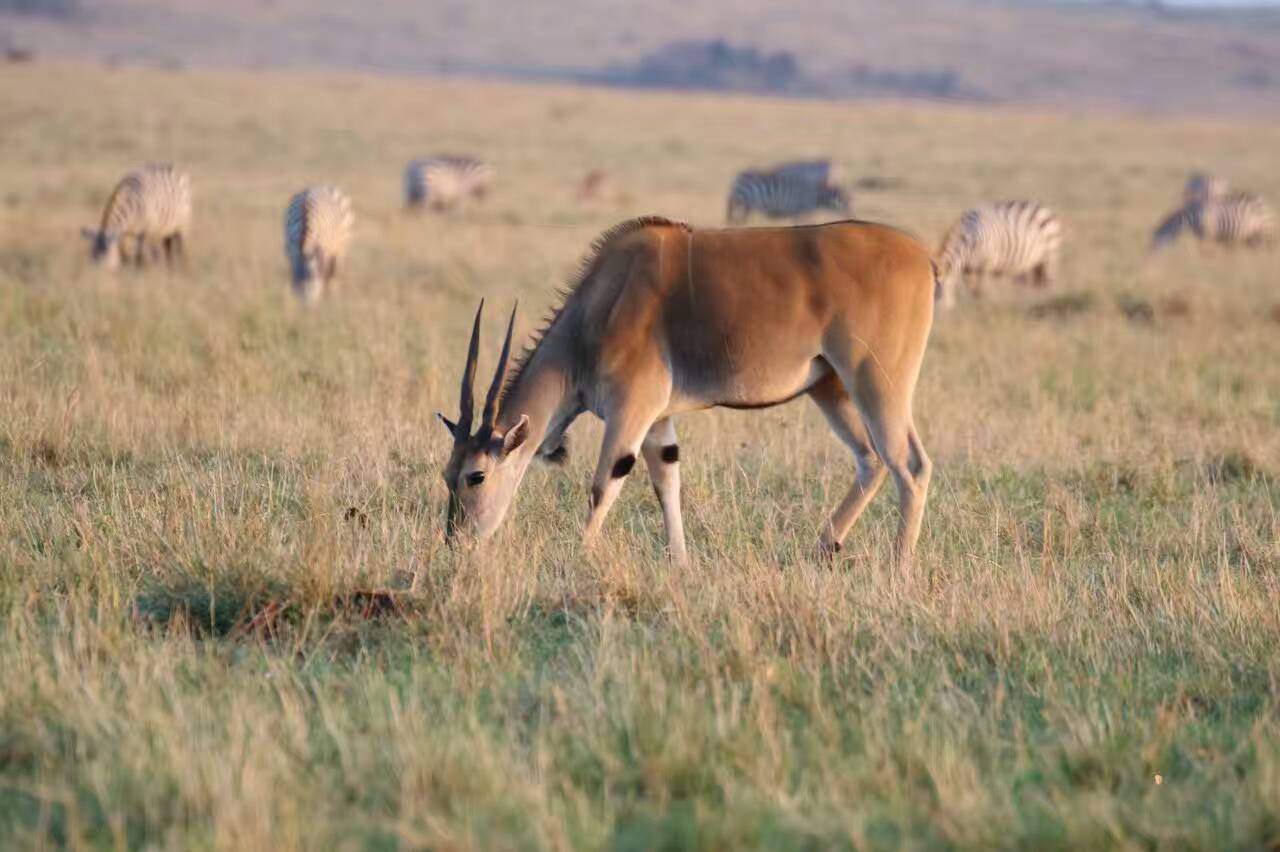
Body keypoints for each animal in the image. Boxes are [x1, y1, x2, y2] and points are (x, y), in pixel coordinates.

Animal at [437, 216, 931, 568]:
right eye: (447, 474)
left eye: (476, 476)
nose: (455, 542)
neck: (601, 308)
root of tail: (922, 257)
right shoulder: (657, 421)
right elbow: (666, 481)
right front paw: (679, 563)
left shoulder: (630, 411)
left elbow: (603, 485)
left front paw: (579, 557)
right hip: (831, 389)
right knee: (871, 459)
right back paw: (825, 545)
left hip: (876, 383)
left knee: (909, 465)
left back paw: (900, 566)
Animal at [721, 168, 849, 222]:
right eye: (843, 203)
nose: (850, 216)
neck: (814, 196)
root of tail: (740, 174)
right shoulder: (799, 209)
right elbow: (803, 223)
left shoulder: (801, 211)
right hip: (741, 197)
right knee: (730, 206)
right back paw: (731, 222)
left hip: (747, 201)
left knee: (743, 212)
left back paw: (741, 223)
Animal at [936, 199, 1064, 308]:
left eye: (941, 291)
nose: (939, 316)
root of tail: (1045, 209)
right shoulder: (968, 269)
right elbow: (974, 289)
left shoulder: (986, 264)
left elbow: (982, 289)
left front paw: (984, 306)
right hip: (1034, 263)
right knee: (1035, 284)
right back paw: (1029, 300)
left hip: (1049, 256)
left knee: (1049, 283)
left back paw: (1045, 302)